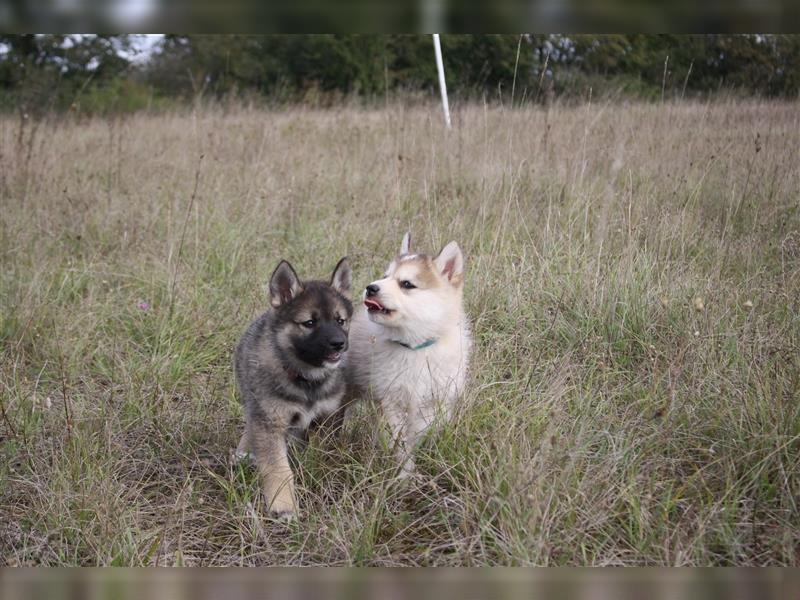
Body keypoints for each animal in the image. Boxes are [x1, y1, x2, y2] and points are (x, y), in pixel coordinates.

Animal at [234, 256, 354, 516]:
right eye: (309, 323)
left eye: (340, 321)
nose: (340, 344)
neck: (306, 377)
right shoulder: (271, 421)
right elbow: (278, 468)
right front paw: (283, 504)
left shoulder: (328, 417)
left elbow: (323, 453)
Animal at [348, 232, 472, 476]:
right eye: (385, 276)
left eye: (406, 284)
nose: (371, 287)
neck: (416, 348)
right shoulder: (390, 401)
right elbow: (400, 442)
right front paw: (405, 474)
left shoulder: (437, 402)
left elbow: (422, 432)